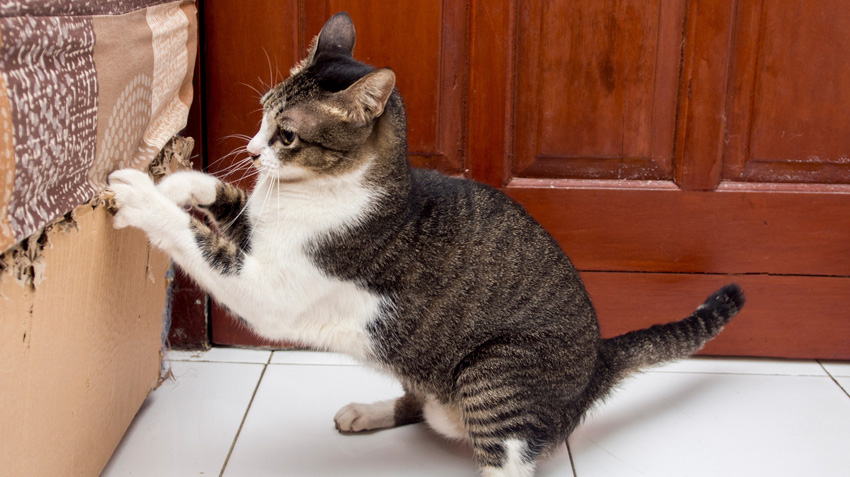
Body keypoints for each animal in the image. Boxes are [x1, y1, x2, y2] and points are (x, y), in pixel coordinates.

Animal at [106, 11, 744, 476]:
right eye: (263, 114)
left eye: (286, 134)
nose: (254, 149)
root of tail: (596, 364)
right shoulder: (255, 228)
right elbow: (226, 200)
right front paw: (178, 180)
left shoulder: (265, 288)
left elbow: (197, 240)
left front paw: (141, 196)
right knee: (423, 404)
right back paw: (365, 412)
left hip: (493, 374)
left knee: (509, 459)